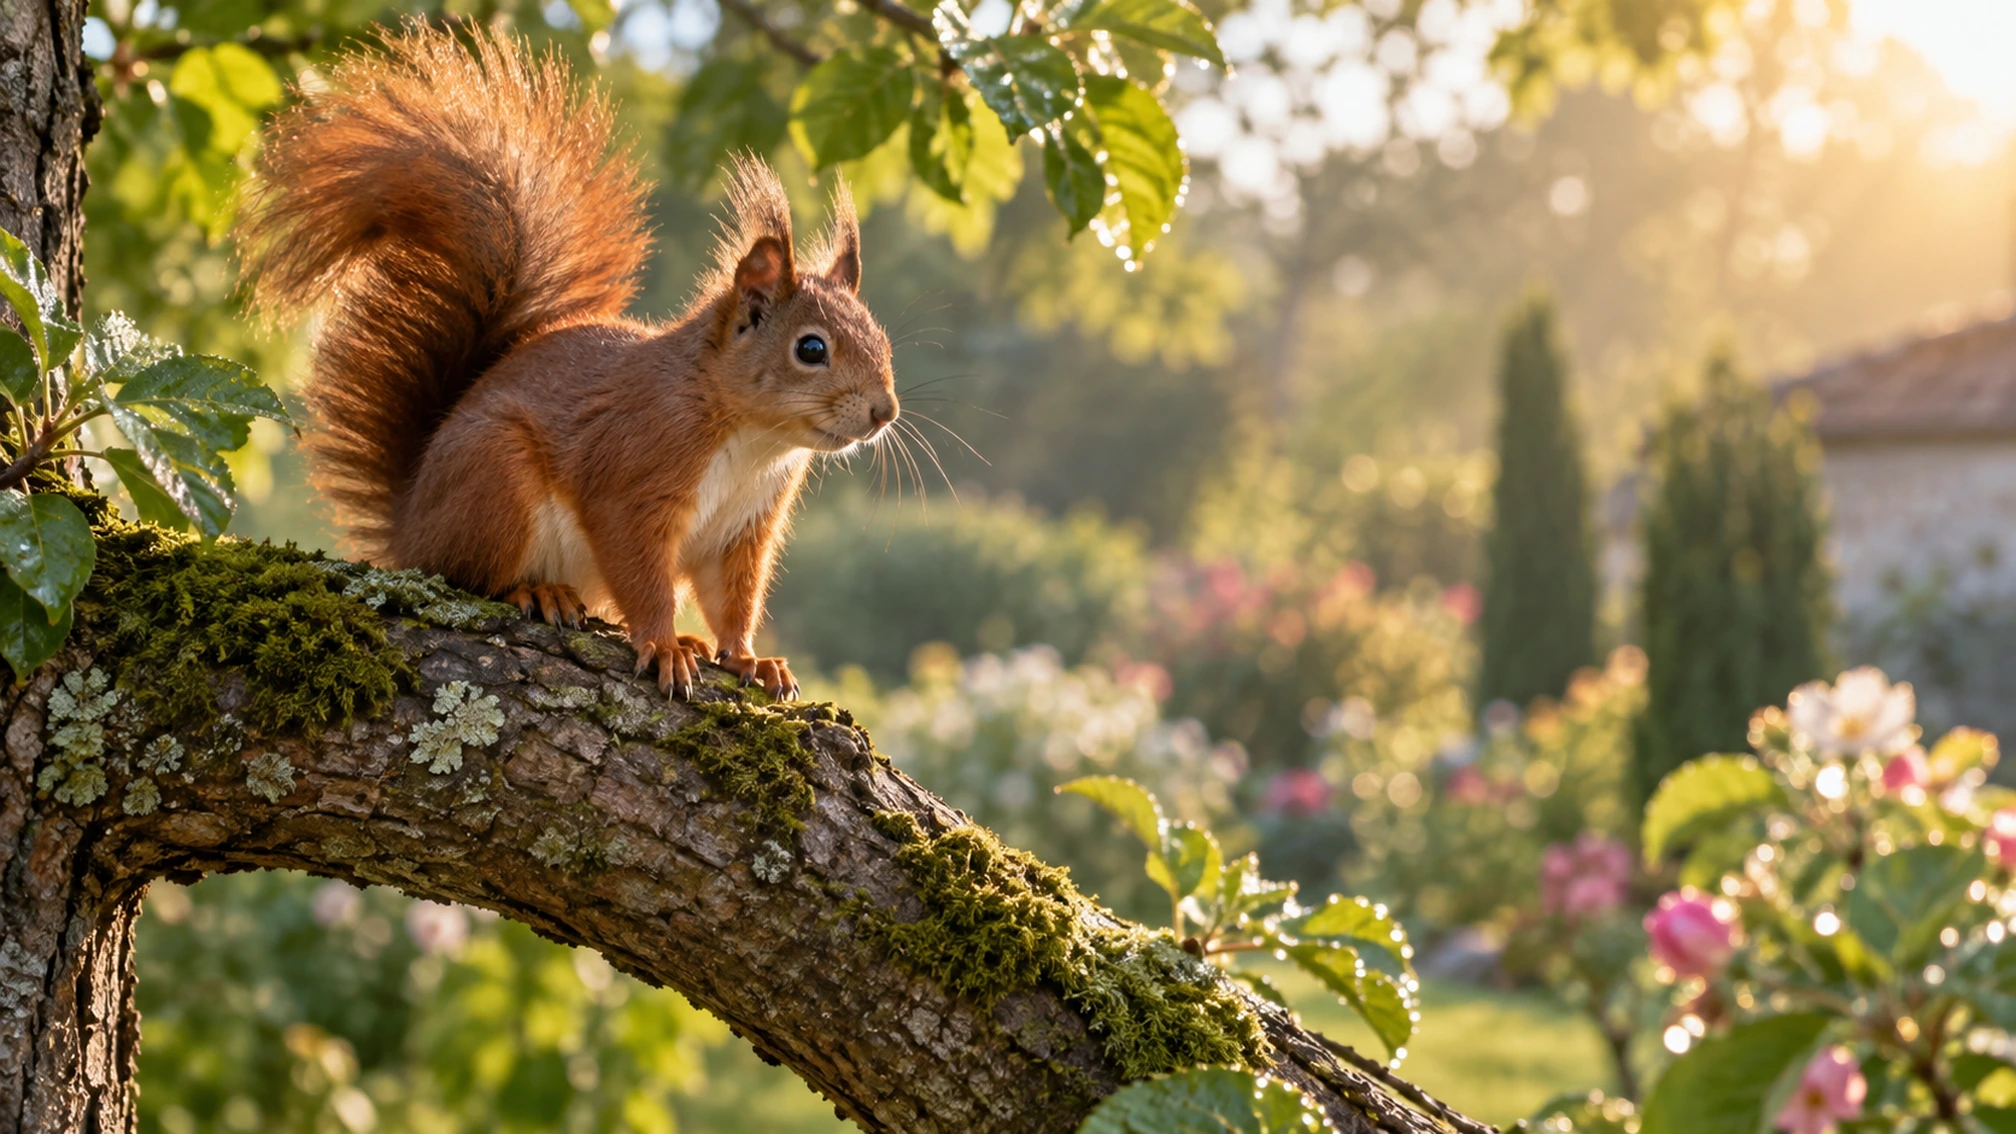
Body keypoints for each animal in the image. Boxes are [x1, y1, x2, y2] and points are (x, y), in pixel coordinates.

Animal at [236, 23, 898, 700]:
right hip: (496, 479)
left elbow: (732, 602)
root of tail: (409, 525)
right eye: (811, 349)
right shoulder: (631, 479)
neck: (752, 438)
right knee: (467, 574)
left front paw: (748, 659)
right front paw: (663, 646)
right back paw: (538, 591)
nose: (885, 412)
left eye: (882, 337)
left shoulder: (743, 529)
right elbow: (642, 576)